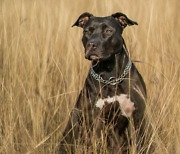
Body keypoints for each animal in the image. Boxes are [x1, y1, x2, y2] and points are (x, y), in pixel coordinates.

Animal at [59, 12, 147, 154]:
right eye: (87, 31)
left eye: (108, 31)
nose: (91, 44)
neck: (111, 77)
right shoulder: (98, 119)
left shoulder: (137, 117)